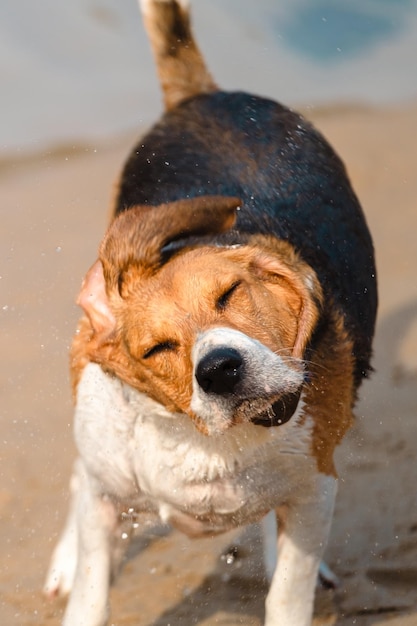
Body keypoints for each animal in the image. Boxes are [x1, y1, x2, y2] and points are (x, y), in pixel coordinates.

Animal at [43, 2, 376, 620]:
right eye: (157, 348)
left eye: (229, 294)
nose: (220, 370)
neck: (203, 437)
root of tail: (204, 96)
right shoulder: (106, 495)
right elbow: (91, 591)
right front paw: (79, 577)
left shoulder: (316, 490)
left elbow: (287, 591)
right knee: (81, 476)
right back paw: (64, 563)